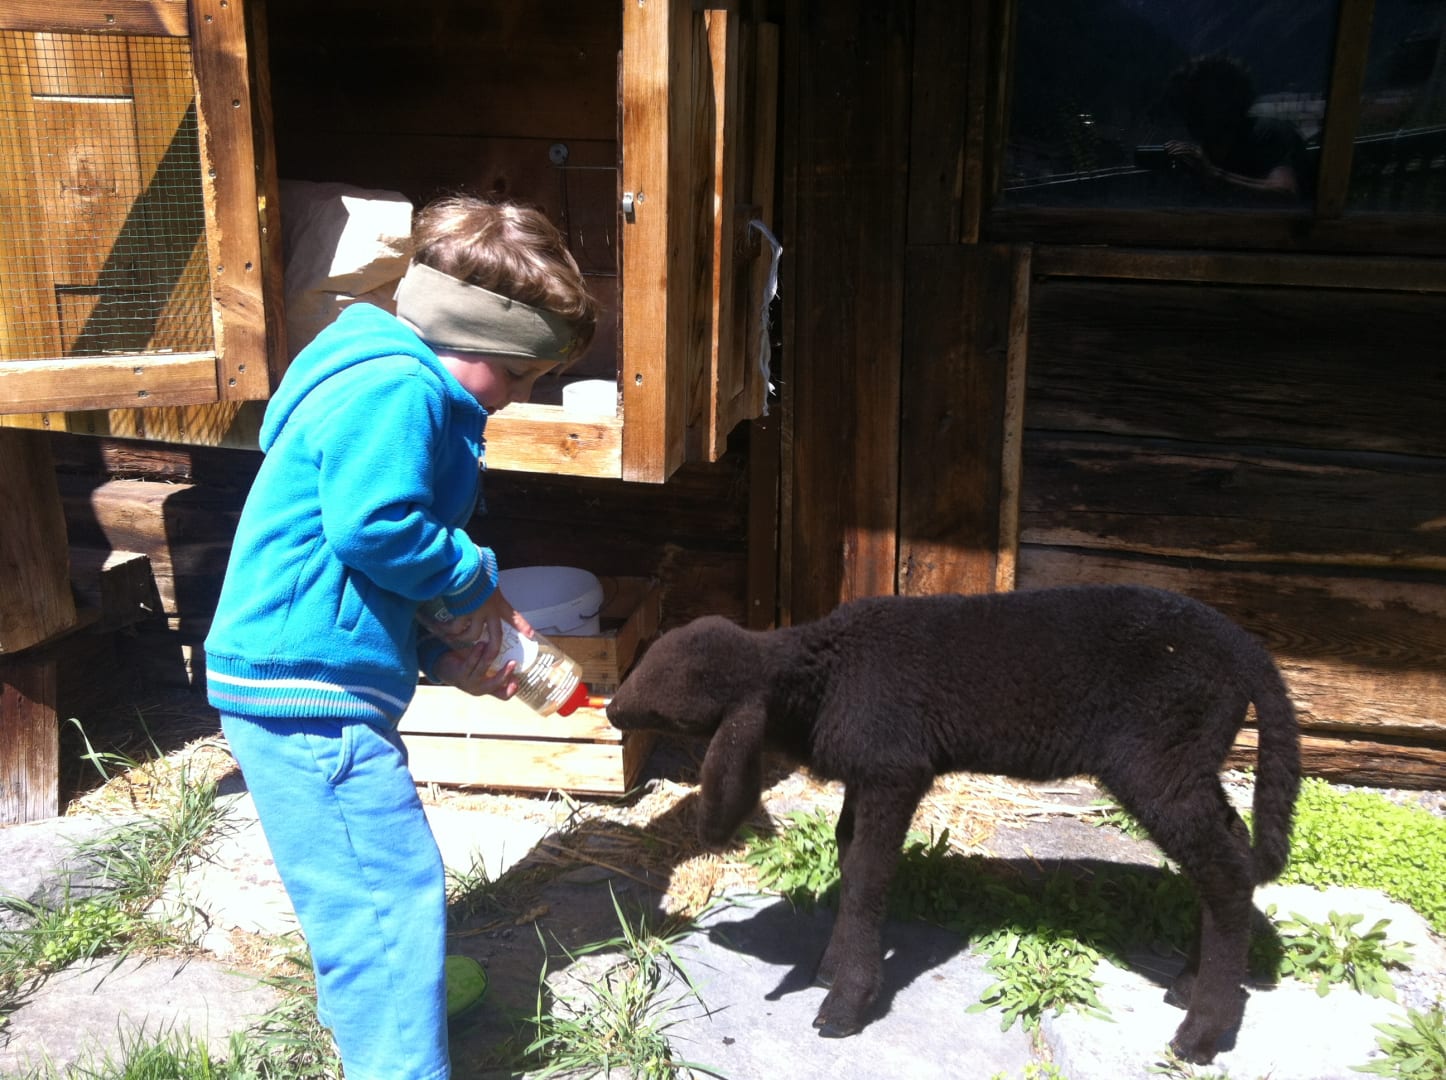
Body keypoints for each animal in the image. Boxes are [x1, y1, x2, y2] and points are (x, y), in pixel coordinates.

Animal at [606, 584, 1301, 1064]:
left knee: (1225, 869)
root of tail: (1246, 651)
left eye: (676, 706)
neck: (827, 678)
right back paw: (1192, 981)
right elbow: (849, 853)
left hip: (1159, 759)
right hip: (1193, 756)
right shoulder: (869, 771)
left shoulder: (894, 769)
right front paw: (832, 965)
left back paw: (1203, 1030)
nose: (612, 710)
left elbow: (868, 876)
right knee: (1230, 854)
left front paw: (845, 1001)